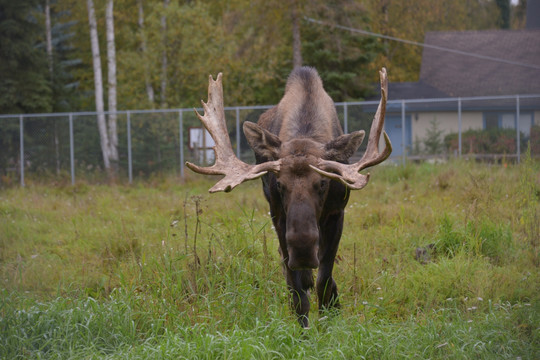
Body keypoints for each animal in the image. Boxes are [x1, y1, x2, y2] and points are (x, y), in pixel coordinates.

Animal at [188, 66, 390, 328]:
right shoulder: (278, 215)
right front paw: (303, 330)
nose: (303, 251)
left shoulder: (337, 212)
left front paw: (328, 321)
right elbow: (297, 291)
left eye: (323, 182)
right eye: (280, 184)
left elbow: (324, 280)